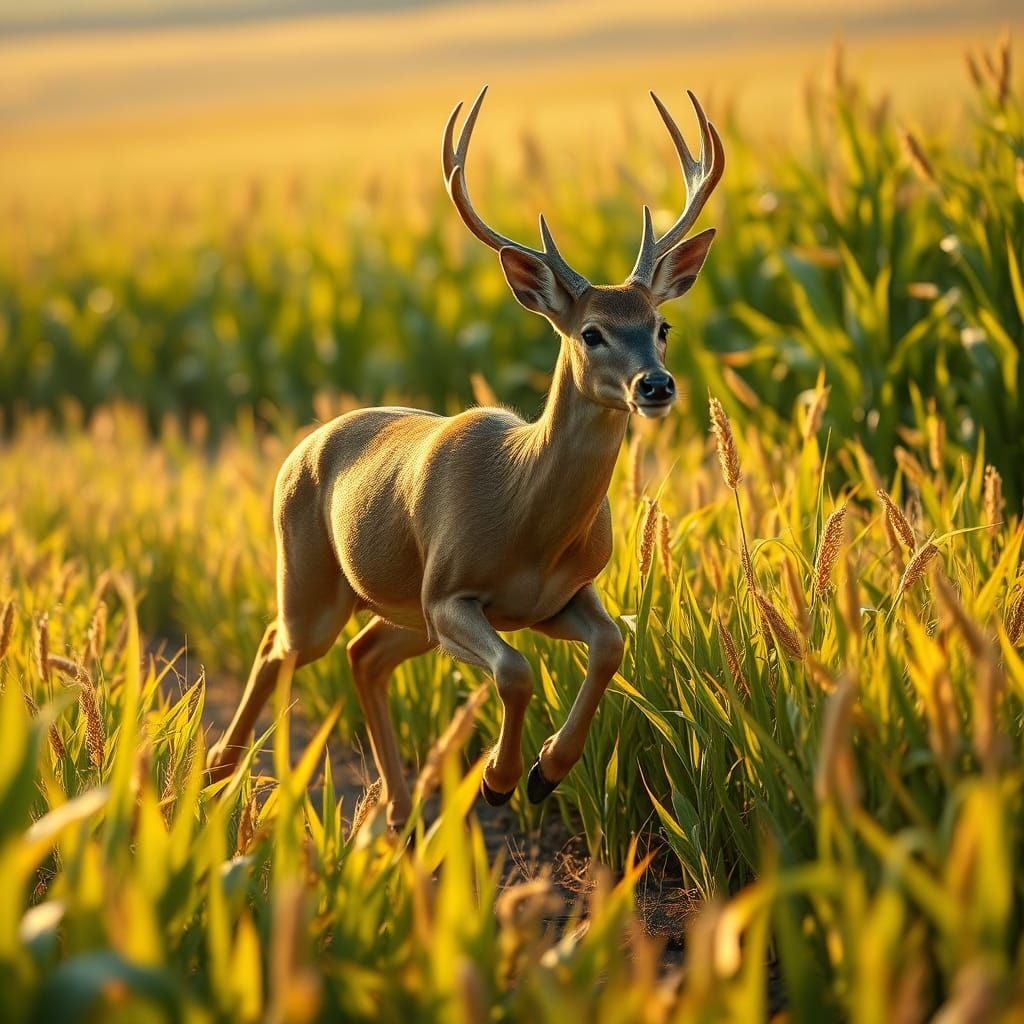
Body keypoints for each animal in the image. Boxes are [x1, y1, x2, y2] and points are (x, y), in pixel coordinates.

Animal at [206, 86, 724, 829]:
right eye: (591, 332)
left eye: (661, 325)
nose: (655, 386)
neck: (526, 515)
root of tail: (303, 442)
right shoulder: (448, 591)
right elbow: (515, 671)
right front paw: (500, 780)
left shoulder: (560, 596)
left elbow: (612, 646)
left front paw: (545, 772)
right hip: (315, 579)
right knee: (277, 644)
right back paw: (218, 770)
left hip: (402, 612)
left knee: (364, 655)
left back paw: (396, 812)